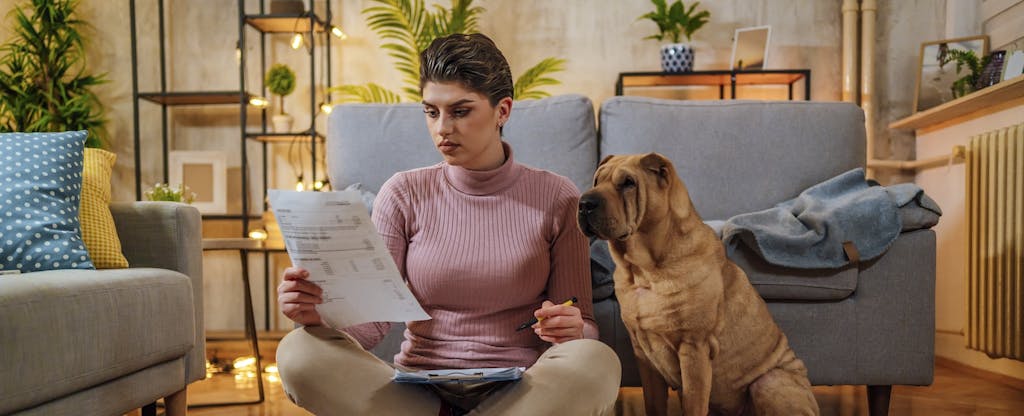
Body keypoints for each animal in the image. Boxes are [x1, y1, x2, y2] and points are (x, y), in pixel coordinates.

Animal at [581, 153, 819, 416]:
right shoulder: (644, 356)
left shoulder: (694, 348)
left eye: (628, 183)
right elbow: (653, 404)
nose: (584, 203)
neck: (643, 272)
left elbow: (693, 404)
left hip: (769, 381)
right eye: (596, 180)